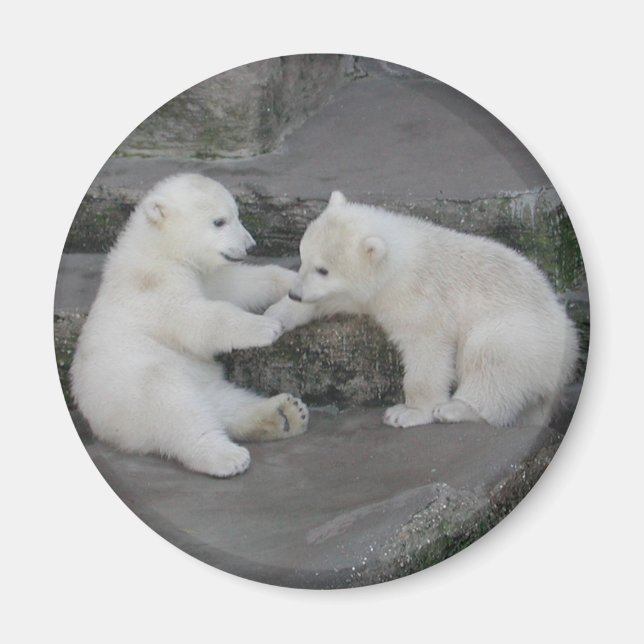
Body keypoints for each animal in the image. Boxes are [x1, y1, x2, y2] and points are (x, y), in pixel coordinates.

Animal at [71, 173, 308, 478]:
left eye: (236, 214)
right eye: (219, 221)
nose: (250, 246)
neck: (158, 247)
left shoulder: (204, 274)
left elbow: (239, 285)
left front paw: (295, 281)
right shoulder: (154, 286)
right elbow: (194, 318)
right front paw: (266, 326)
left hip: (202, 382)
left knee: (225, 403)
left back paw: (286, 414)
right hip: (134, 387)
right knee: (176, 409)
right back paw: (226, 456)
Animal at [265, 191, 579, 428]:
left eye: (323, 269)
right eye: (303, 256)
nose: (295, 293)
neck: (401, 259)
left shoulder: (419, 297)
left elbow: (426, 350)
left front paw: (407, 412)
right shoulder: (374, 293)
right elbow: (340, 298)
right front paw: (276, 315)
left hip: (523, 334)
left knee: (491, 358)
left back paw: (457, 409)